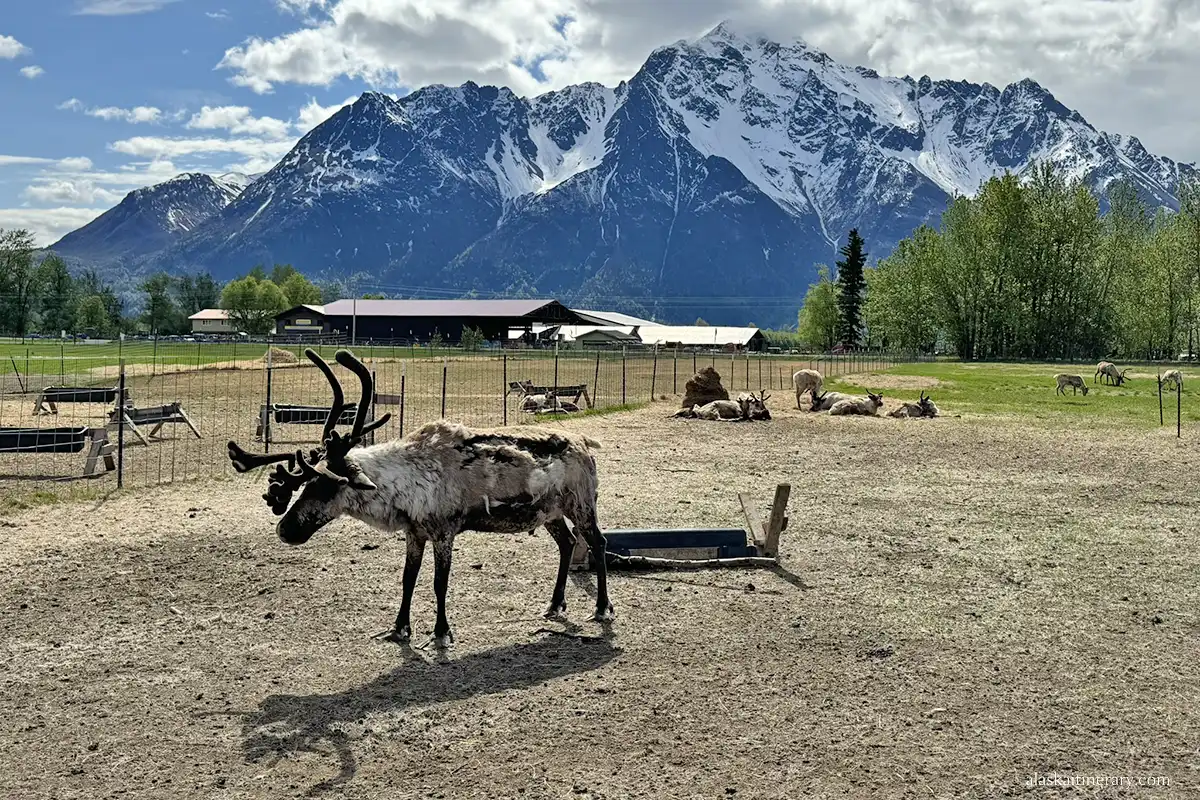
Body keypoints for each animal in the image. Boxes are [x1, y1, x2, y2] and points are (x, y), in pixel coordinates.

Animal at [225, 348, 613, 649]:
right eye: (306, 485)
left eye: (329, 485)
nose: (285, 529)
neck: (405, 483)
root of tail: (585, 443)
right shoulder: (414, 532)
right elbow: (407, 578)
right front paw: (399, 629)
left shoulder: (444, 531)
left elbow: (439, 582)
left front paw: (442, 633)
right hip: (549, 512)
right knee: (567, 543)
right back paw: (555, 605)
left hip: (582, 503)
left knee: (597, 541)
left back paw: (602, 608)